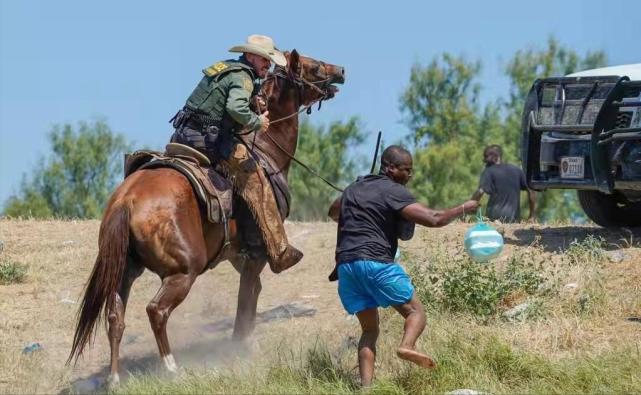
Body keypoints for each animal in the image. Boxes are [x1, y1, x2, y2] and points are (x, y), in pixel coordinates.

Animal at [69, 50, 344, 386]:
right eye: (313, 65)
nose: (341, 71)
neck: (266, 148)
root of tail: (127, 200)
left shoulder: (238, 255)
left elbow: (251, 295)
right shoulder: (256, 254)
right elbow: (245, 302)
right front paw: (240, 348)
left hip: (125, 270)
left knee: (115, 317)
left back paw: (114, 379)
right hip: (183, 271)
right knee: (156, 311)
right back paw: (172, 368)